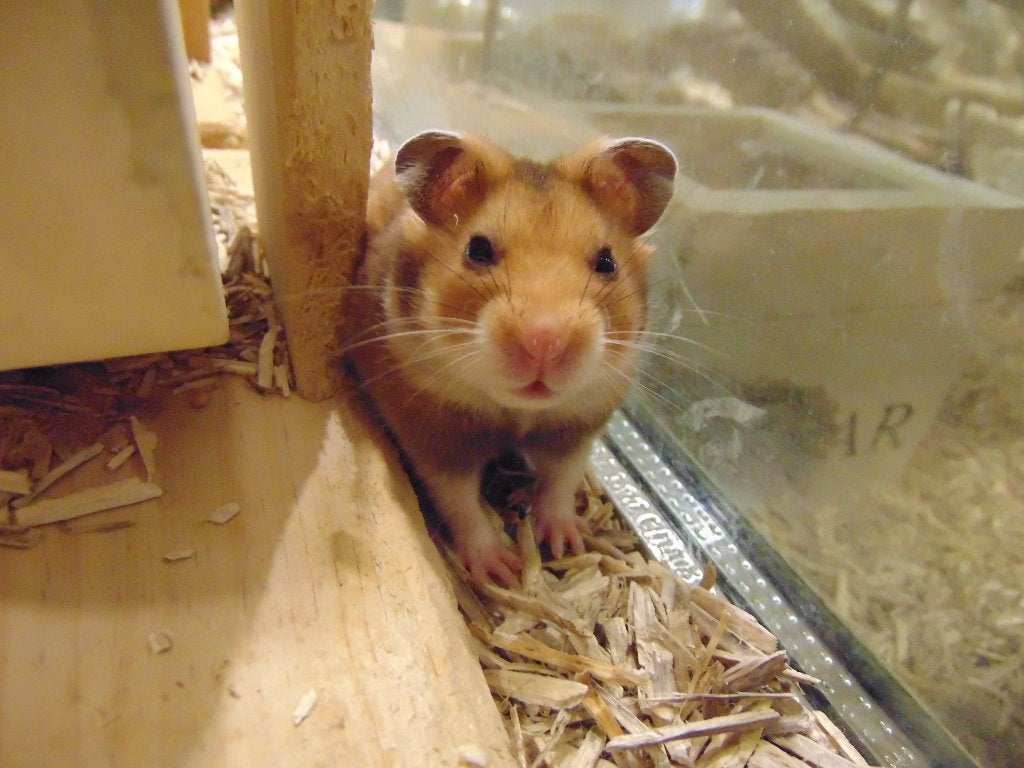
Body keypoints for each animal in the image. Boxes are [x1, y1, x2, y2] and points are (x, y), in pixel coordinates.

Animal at [347, 130, 676, 585]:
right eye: (478, 250)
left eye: (607, 261)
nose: (545, 342)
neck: (517, 412)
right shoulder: (435, 435)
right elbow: (460, 502)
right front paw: (500, 569)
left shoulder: (577, 426)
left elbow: (561, 482)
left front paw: (565, 543)